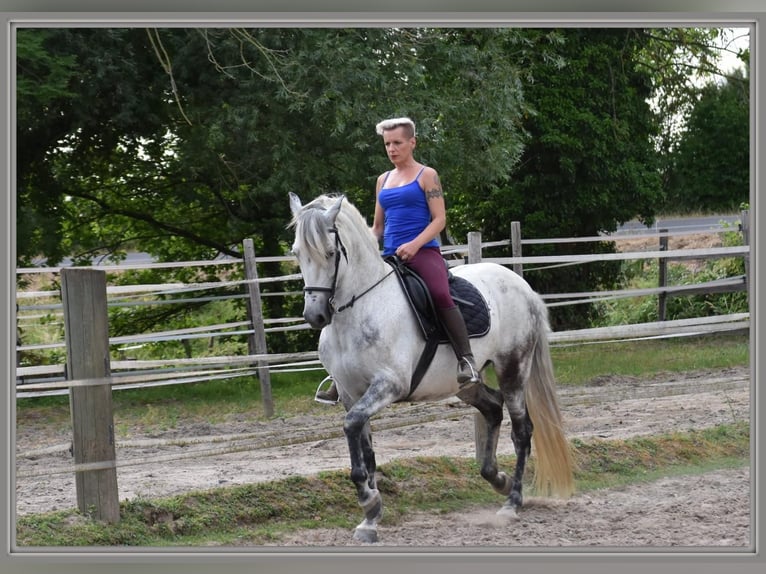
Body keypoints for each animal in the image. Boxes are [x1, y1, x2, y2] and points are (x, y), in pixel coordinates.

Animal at [288, 192, 574, 543]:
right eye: (297, 254)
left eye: (330, 253)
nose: (315, 316)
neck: (359, 310)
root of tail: (521, 284)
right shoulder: (350, 394)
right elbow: (364, 447)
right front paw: (370, 517)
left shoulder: (388, 385)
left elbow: (352, 428)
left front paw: (369, 502)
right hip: (465, 384)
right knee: (493, 408)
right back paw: (497, 479)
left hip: (513, 369)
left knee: (521, 431)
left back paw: (512, 502)